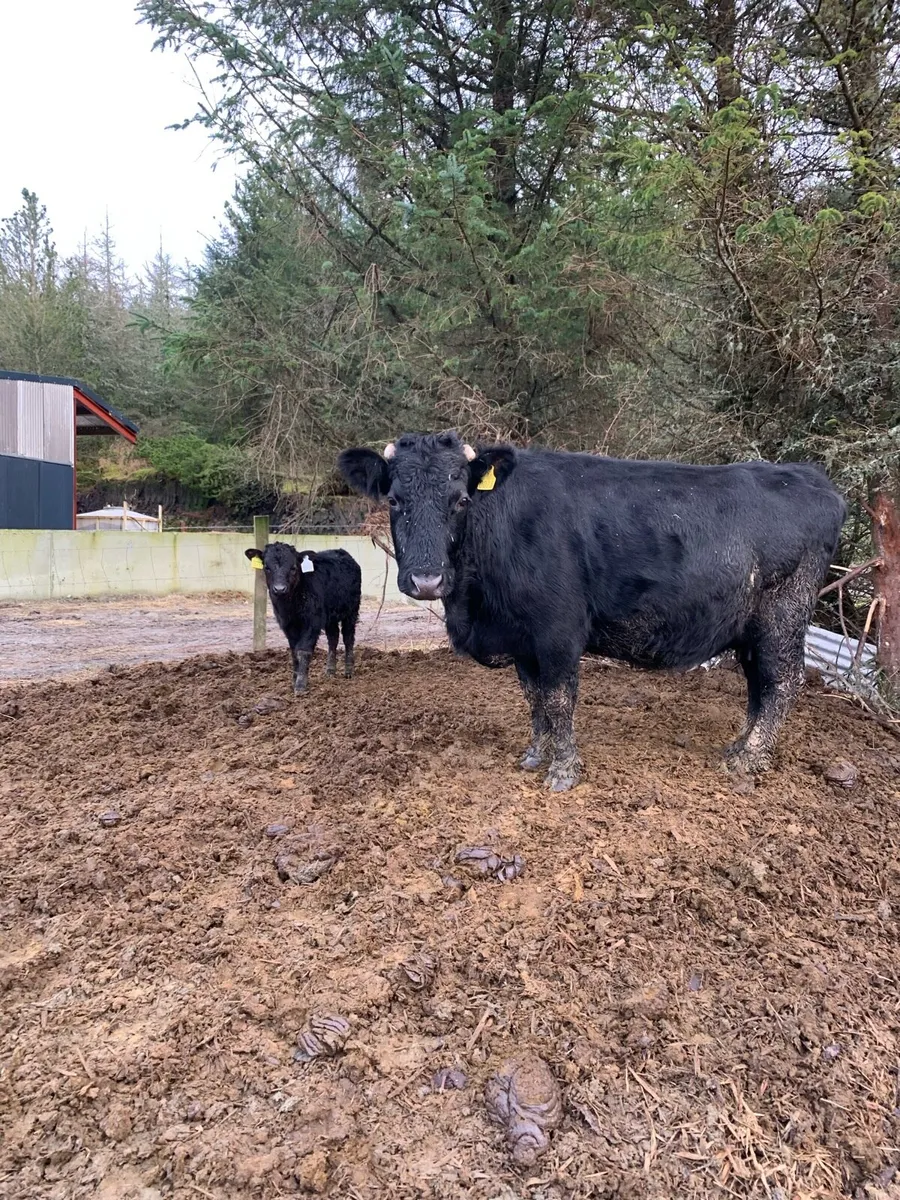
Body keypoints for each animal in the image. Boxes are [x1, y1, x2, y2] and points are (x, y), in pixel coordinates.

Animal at [245, 543, 361, 694]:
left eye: (293, 568)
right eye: (266, 567)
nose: (279, 589)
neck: (290, 606)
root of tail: (342, 552)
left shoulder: (312, 622)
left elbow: (303, 650)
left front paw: (300, 685)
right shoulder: (287, 625)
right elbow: (294, 652)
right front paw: (294, 681)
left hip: (351, 610)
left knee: (348, 637)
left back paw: (348, 671)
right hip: (330, 616)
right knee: (333, 638)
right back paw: (330, 670)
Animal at [338, 432, 846, 791]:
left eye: (461, 500)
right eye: (394, 500)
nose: (426, 580)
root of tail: (813, 480)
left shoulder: (558, 630)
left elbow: (559, 699)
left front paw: (563, 771)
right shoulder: (524, 641)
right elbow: (534, 698)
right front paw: (535, 754)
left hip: (783, 615)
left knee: (782, 683)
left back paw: (748, 760)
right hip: (751, 628)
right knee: (760, 685)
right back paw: (739, 746)